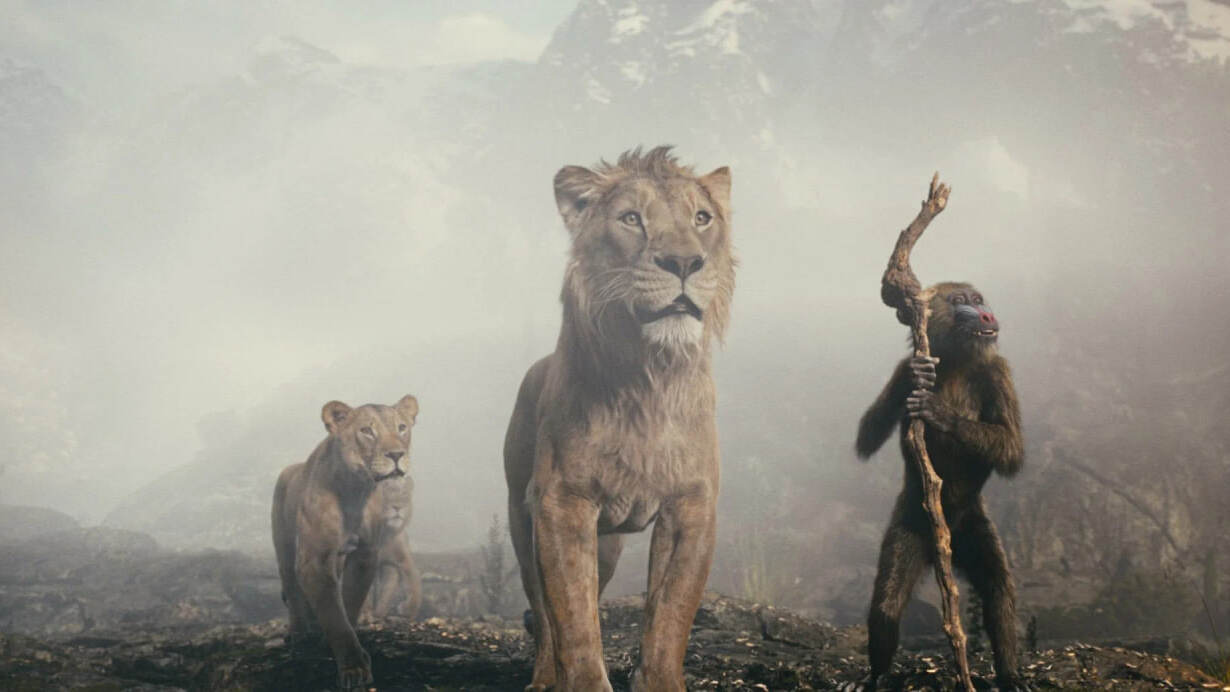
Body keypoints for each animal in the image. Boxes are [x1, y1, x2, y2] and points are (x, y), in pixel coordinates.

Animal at [271, 394, 419, 691]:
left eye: (401, 427)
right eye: (367, 431)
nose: (396, 455)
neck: (355, 490)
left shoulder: (365, 555)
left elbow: (348, 603)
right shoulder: (314, 560)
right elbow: (333, 614)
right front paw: (353, 668)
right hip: (284, 546)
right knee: (292, 587)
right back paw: (300, 636)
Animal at [504, 146, 735, 692]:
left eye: (702, 218)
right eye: (632, 219)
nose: (684, 262)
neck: (649, 378)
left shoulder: (692, 505)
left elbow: (670, 615)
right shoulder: (562, 503)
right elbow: (573, 619)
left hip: (607, 544)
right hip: (522, 517)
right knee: (543, 612)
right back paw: (543, 677)